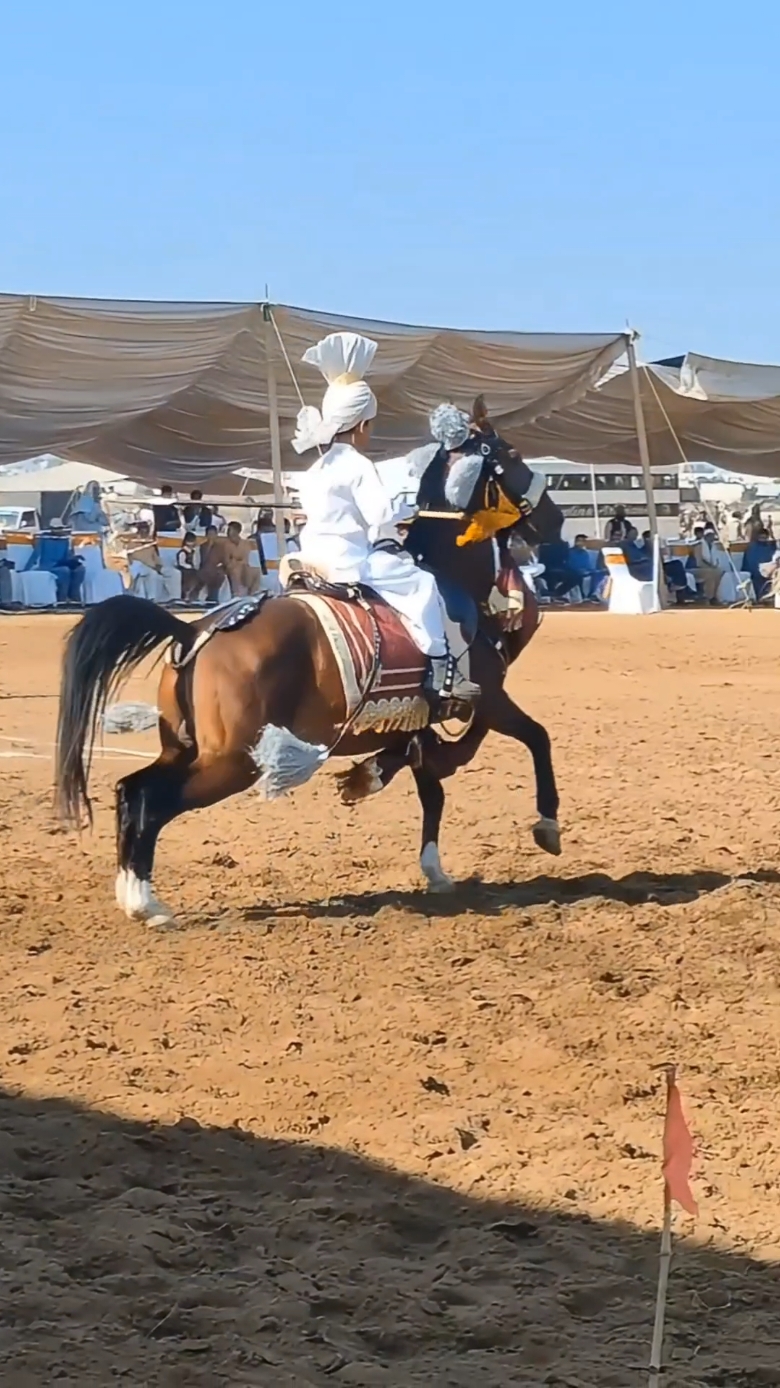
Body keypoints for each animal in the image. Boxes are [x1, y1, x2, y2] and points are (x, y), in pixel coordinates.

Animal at [56, 402, 563, 921]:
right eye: (513, 455)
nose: (555, 521)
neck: (450, 577)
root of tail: (193, 631)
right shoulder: (487, 698)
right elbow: (532, 738)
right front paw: (546, 826)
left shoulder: (421, 719)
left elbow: (431, 787)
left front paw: (424, 853)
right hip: (232, 764)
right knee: (152, 802)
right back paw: (145, 902)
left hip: (185, 749)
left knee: (131, 790)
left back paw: (136, 893)